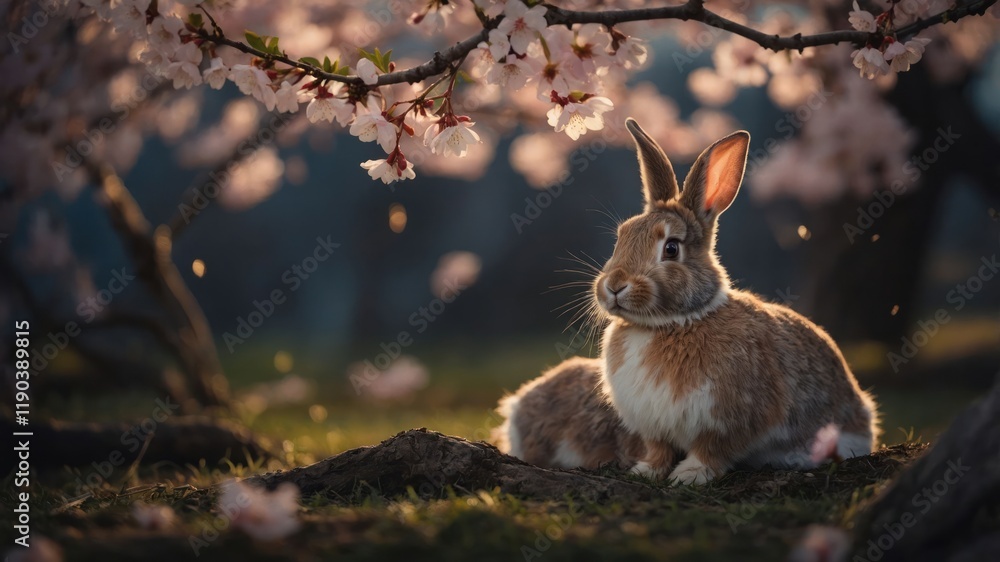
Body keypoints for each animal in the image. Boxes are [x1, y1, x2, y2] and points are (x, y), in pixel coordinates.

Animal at [592, 118, 880, 485]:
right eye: (621, 237)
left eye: (671, 248)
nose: (614, 286)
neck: (668, 324)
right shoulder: (653, 425)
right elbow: (659, 449)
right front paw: (646, 470)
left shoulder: (730, 418)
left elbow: (713, 449)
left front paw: (690, 474)